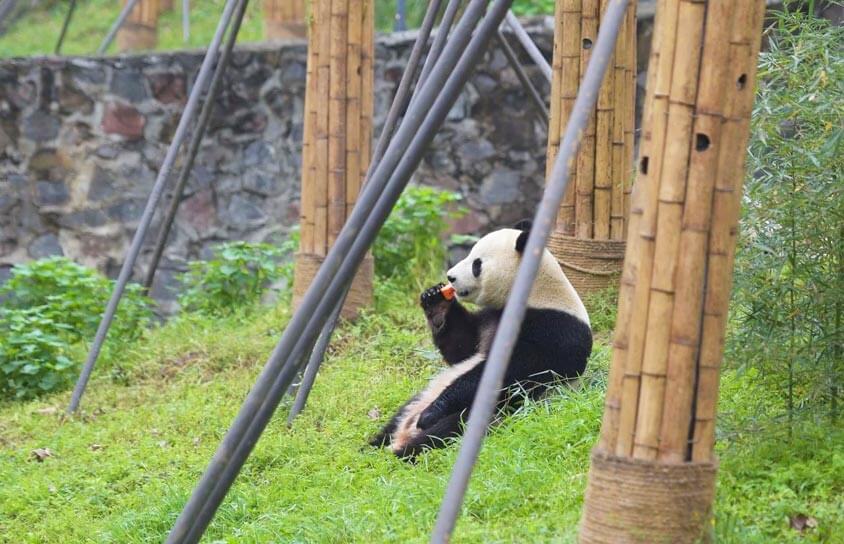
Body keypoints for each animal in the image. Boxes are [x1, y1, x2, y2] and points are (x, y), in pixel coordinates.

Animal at [370, 222, 592, 460]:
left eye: (477, 264)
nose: (450, 277)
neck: (537, 292)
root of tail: (404, 433)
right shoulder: (491, 317)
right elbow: (462, 349)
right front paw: (436, 300)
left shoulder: (553, 331)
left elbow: (508, 372)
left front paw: (432, 413)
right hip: (420, 396)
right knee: (398, 416)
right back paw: (373, 447)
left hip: (499, 410)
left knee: (452, 426)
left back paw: (403, 451)